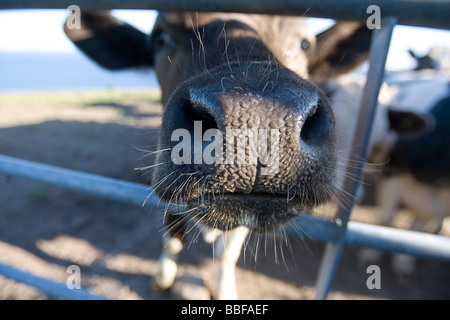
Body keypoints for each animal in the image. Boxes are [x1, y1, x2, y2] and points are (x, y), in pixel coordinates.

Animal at [65, 10, 374, 300]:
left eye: (305, 43)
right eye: (161, 37)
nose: (259, 118)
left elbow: (229, 251)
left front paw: (224, 289)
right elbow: (172, 230)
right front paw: (163, 277)